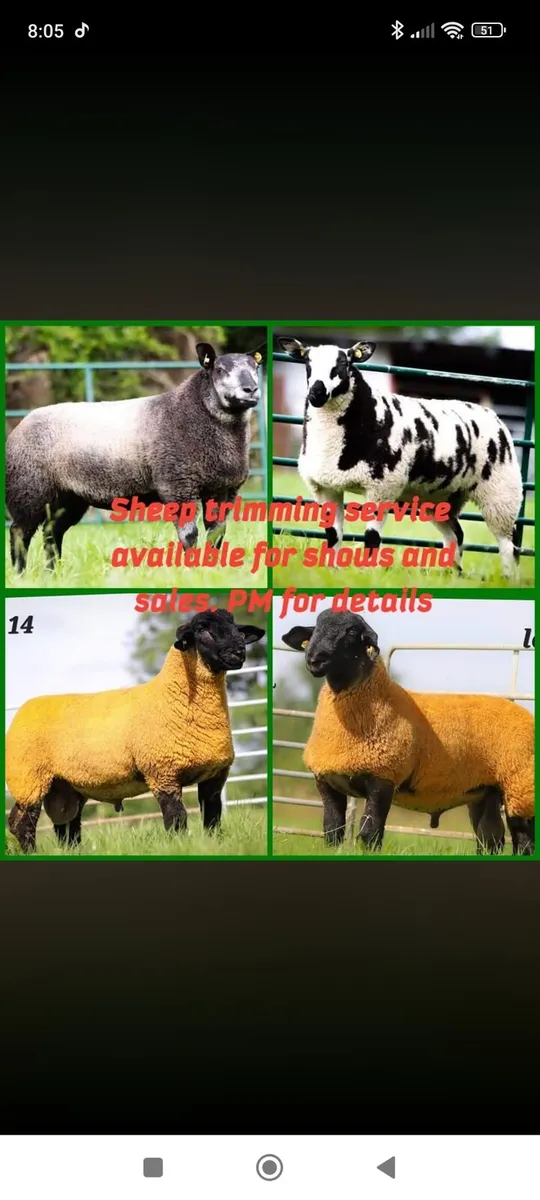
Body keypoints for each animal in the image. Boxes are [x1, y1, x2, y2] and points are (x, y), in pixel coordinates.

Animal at [6, 609, 265, 853]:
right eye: (202, 629)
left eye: (237, 629)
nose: (239, 652)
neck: (173, 696)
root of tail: (23, 710)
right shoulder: (163, 773)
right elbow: (177, 819)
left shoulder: (215, 775)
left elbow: (212, 819)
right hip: (28, 779)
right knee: (21, 822)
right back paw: (32, 852)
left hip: (65, 787)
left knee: (67, 825)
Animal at [7, 341, 265, 571]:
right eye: (220, 370)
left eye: (255, 367)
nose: (251, 390)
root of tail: (20, 425)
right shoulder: (178, 484)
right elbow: (189, 534)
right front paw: (193, 568)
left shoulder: (224, 489)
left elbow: (217, 534)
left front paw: (213, 568)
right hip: (29, 490)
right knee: (19, 532)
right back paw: (21, 574)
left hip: (69, 497)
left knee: (52, 533)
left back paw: (53, 573)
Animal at [277, 337, 523, 577]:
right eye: (307, 363)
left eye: (343, 363)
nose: (316, 394)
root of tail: (493, 416)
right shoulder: (325, 486)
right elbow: (332, 534)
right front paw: (332, 572)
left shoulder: (382, 487)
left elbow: (371, 537)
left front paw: (367, 574)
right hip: (440, 497)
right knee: (456, 535)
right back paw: (452, 575)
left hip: (501, 492)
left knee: (507, 544)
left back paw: (508, 579)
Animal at [282, 610, 534, 854]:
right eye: (316, 628)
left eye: (352, 631)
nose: (315, 659)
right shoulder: (326, 780)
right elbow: (332, 831)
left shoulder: (383, 776)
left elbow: (370, 832)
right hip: (485, 792)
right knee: (490, 839)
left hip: (520, 788)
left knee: (523, 842)